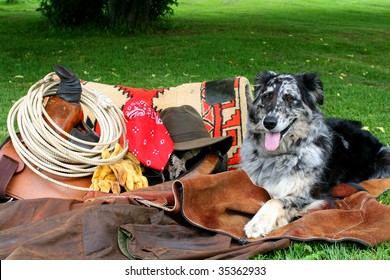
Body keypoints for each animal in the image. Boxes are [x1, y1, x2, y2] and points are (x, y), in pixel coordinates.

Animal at [241, 70, 390, 238]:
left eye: (290, 98)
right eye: (267, 96)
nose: (269, 122)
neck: (279, 156)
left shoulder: (311, 195)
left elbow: (275, 201)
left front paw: (257, 223)